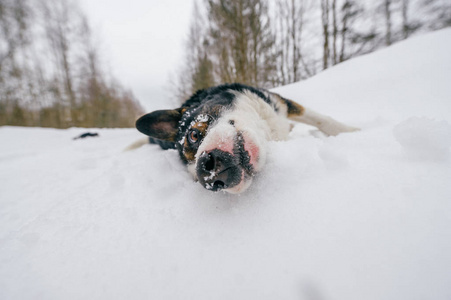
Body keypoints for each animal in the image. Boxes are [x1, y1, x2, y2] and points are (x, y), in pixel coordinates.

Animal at [136, 83, 358, 193]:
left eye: (193, 134)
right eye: (192, 176)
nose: (206, 173)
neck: (267, 132)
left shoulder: (278, 103)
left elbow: (321, 120)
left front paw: (353, 131)